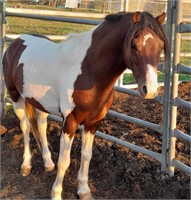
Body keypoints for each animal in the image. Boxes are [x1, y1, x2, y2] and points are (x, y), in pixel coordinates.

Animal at [2, 11, 167, 200]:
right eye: (133, 45)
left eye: (160, 45)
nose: (151, 89)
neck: (89, 71)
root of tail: (16, 42)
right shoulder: (70, 122)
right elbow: (64, 160)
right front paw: (56, 193)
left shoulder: (93, 123)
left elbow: (86, 155)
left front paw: (84, 190)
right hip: (16, 98)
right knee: (26, 128)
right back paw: (26, 165)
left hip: (38, 102)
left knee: (41, 127)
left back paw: (48, 162)